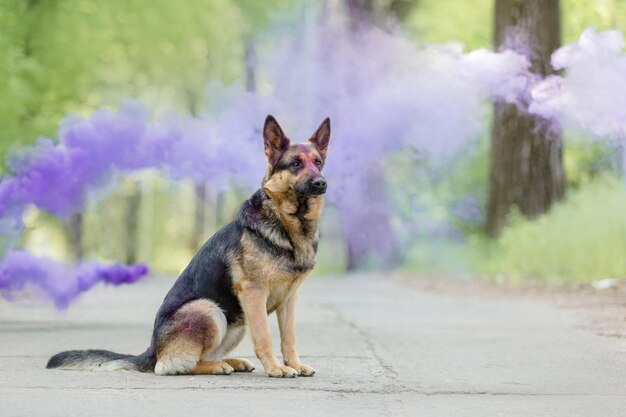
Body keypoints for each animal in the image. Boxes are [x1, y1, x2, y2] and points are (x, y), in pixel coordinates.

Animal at [47, 114, 332, 376]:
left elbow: (289, 337)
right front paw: (275, 368)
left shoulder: (289, 299)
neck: (288, 224)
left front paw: (293, 364)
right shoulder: (254, 292)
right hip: (209, 309)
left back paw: (230, 361)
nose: (321, 183)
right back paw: (217, 366)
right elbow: (265, 336)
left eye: (318, 163)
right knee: (175, 365)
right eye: (295, 164)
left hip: (237, 322)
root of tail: (152, 350)